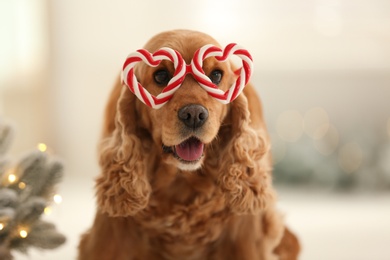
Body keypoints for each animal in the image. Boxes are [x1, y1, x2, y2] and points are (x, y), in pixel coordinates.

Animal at [77, 29, 300, 258]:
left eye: (216, 75)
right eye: (161, 76)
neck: (181, 181)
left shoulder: (246, 239)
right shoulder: (110, 239)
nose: (194, 114)